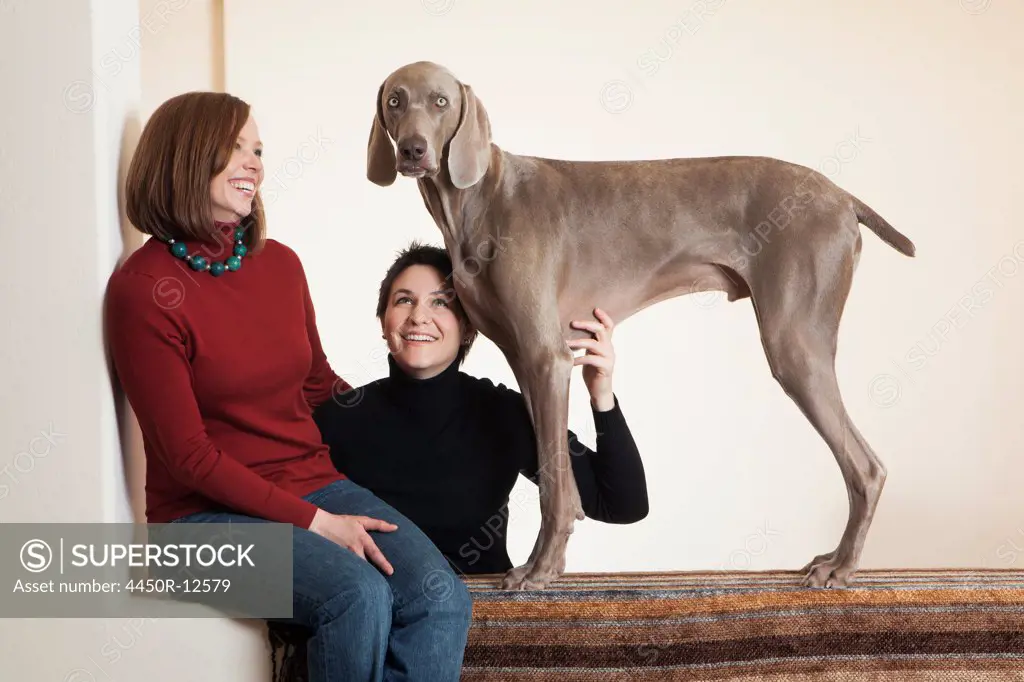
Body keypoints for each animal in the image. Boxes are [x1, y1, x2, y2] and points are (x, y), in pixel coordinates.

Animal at [364, 61, 917, 585]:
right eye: (395, 100)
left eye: (441, 101)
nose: (413, 150)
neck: (478, 201)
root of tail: (842, 195)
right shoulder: (527, 362)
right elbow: (556, 472)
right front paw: (550, 562)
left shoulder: (547, 358)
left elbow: (553, 487)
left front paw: (540, 570)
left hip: (794, 343)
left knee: (866, 467)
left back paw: (840, 567)